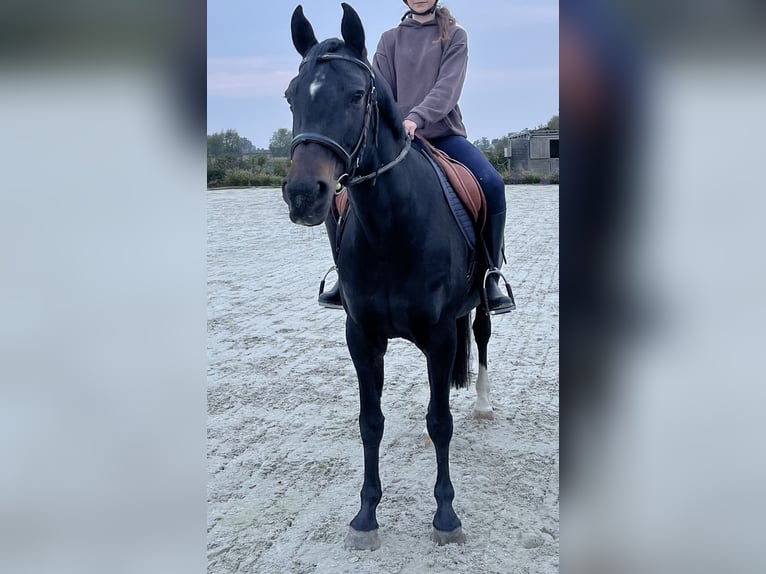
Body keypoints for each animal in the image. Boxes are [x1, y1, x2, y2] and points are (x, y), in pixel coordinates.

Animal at [282, 3, 505, 549]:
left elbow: (442, 420)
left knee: (482, 335)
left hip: (479, 303)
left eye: (357, 95)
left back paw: (484, 405)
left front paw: (446, 515)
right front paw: (366, 515)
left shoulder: (441, 334)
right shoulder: (362, 337)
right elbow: (370, 423)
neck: (391, 226)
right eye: (292, 96)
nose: (303, 194)